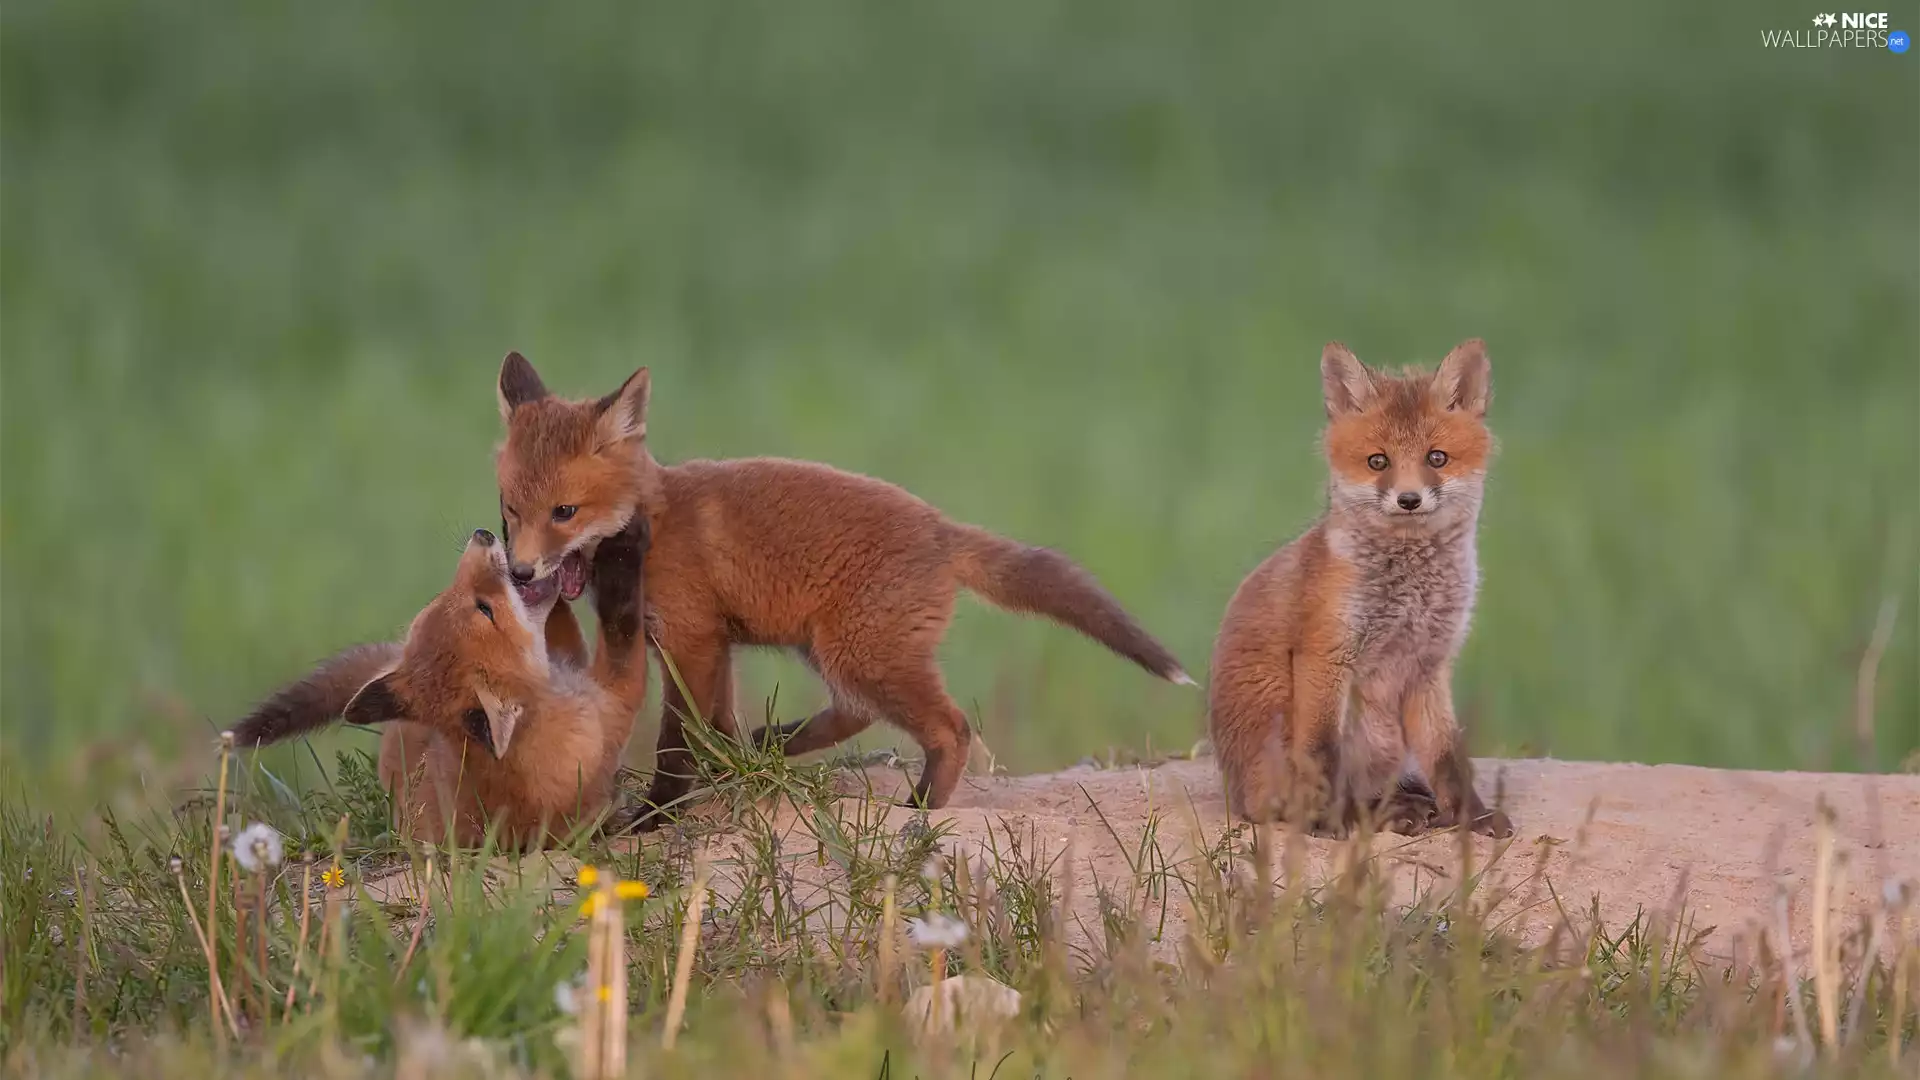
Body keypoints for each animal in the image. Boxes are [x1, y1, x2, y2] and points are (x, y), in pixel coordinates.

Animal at [491, 351, 1192, 823]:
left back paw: (921, 809)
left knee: (951, 727)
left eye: (564, 513)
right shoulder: (714, 644)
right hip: (833, 650)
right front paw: (730, 772)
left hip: (862, 655)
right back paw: (773, 746)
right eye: (511, 510)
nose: (520, 573)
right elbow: (714, 726)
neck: (654, 522)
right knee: (857, 713)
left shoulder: (691, 641)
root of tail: (943, 529)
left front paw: (658, 813)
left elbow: (678, 740)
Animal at [1207, 339, 1514, 839]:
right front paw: (1331, 821)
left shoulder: (1429, 665)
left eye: (1436, 458)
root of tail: (1237, 792)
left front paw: (1472, 816)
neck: (1410, 593)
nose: (1408, 500)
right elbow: (1322, 754)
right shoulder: (1325, 654)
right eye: (1378, 462)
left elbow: (1447, 757)